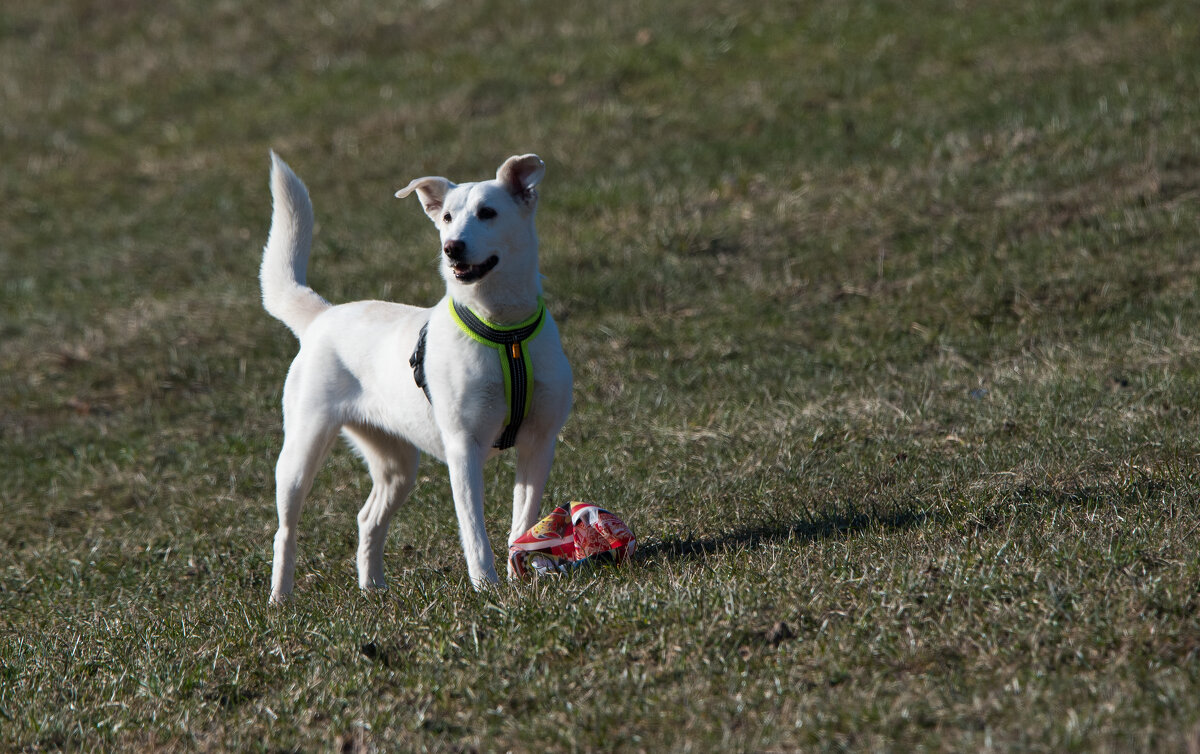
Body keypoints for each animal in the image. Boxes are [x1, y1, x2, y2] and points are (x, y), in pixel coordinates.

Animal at [256, 151, 571, 600]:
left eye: (488, 213)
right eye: (447, 217)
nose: (451, 247)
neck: (504, 332)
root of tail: (322, 316)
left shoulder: (539, 443)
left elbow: (523, 521)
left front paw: (520, 574)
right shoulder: (463, 448)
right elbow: (474, 531)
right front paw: (487, 585)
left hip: (397, 466)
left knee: (367, 518)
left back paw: (372, 588)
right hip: (302, 451)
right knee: (285, 531)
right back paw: (280, 598)